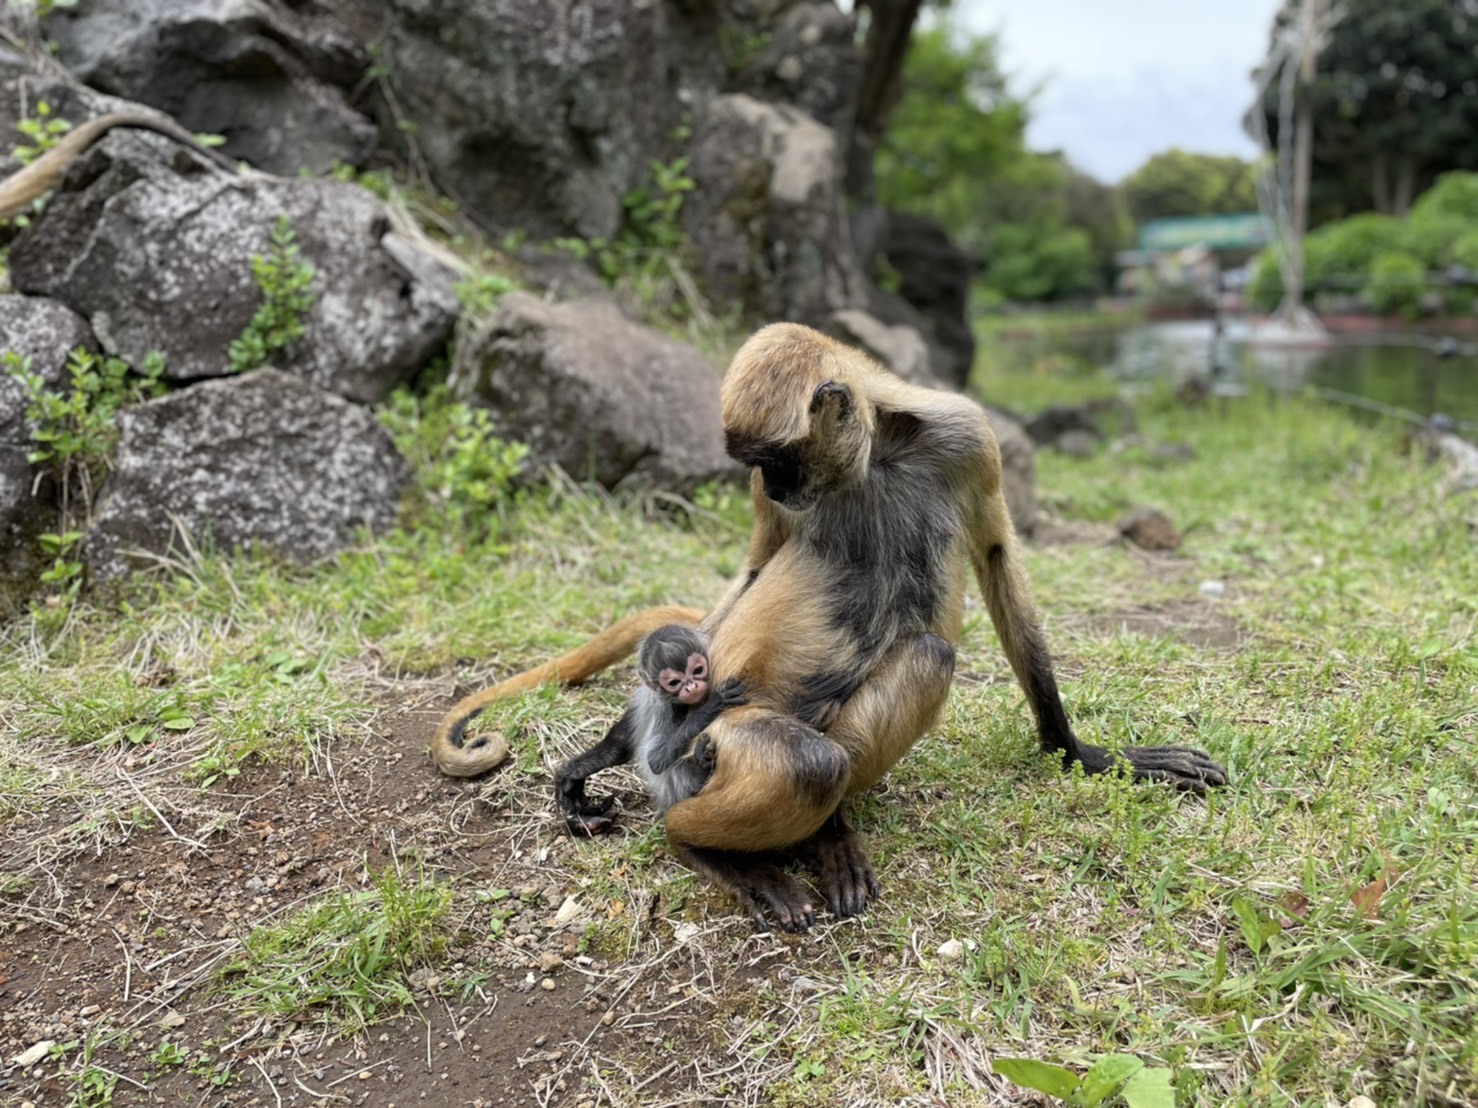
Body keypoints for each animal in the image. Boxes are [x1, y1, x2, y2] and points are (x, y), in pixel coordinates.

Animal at [434, 325, 1223, 933]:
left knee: (919, 661)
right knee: (811, 762)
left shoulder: (966, 433)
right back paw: (704, 845)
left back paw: (826, 833)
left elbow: (997, 554)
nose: (777, 488)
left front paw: (1076, 751)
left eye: (776, 459)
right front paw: (598, 754)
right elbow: (757, 568)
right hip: (712, 746)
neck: (877, 458)